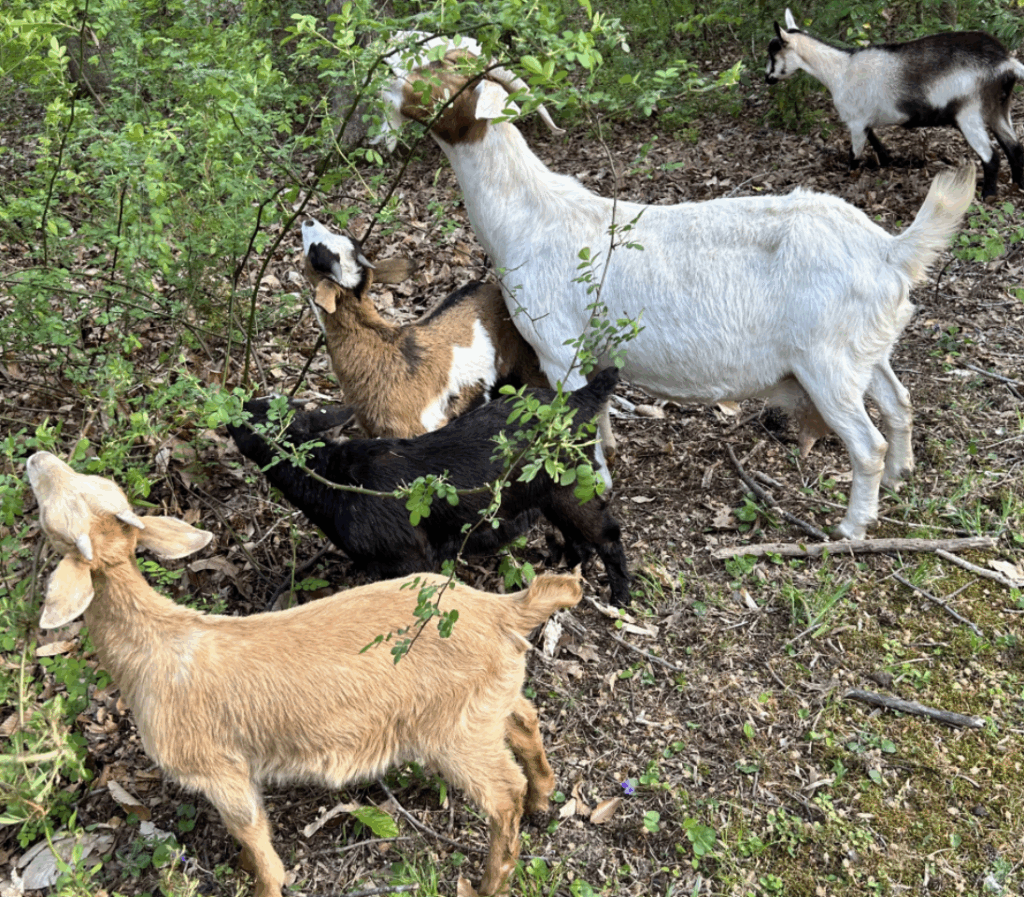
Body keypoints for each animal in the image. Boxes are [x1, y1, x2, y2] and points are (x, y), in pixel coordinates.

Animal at [27, 450, 583, 897]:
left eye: (53, 513)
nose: (36, 458)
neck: (155, 644)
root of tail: (501, 609)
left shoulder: (217, 768)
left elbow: (251, 829)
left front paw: (265, 883)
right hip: (487, 701)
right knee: (525, 719)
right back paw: (543, 797)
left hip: (455, 732)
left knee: (503, 794)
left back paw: (491, 880)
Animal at [227, 368, 631, 605]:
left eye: (252, 417)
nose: (232, 405)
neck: (335, 478)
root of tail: (578, 399)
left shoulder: (410, 557)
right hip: (553, 494)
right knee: (579, 537)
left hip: (571, 486)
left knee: (608, 533)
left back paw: (620, 597)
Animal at [381, 42, 976, 540]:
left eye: (437, 73)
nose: (387, 78)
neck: (530, 215)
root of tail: (890, 250)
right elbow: (597, 409)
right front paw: (610, 455)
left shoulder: (557, 348)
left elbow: (578, 422)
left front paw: (595, 483)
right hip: (866, 350)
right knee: (900, 404)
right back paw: (900, 476)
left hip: (827, 362)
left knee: (867, 443)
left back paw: (852, 527)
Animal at [766, 8, 1024, 198]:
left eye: (773, 54)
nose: (767, 78)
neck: (840, 70)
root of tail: (1005, 61)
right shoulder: (864, 120)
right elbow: (875, 141)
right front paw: (887, 161)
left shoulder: (855, 121)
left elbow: (854, 155)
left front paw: (848, 179)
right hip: (998, 107)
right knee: (1014, 146)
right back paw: (1018, 185)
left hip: (969, 112)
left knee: (992, 156)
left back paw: (988, 195)